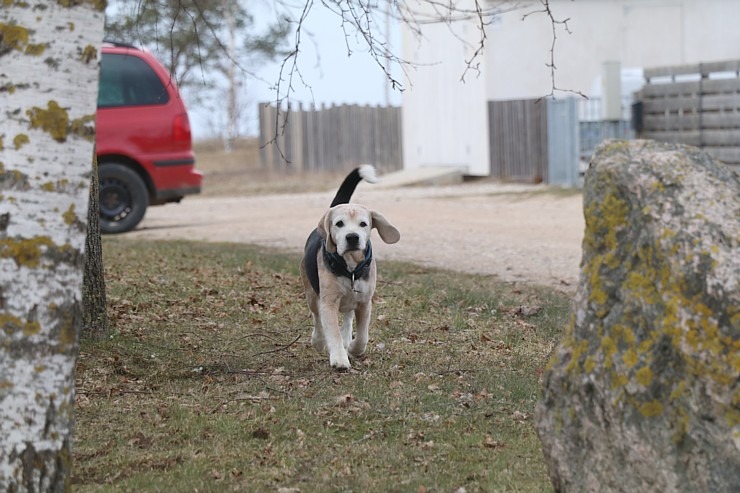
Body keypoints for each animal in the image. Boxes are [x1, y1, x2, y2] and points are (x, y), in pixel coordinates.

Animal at [300, 165, 398, 368]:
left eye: (363, 224)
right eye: (339, 224)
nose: (352, 237)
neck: (350, 268)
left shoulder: (364, 302)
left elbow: (362, 335)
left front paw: (354, 348)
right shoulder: (328, 302)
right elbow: (332, 332)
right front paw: (339, 358)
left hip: (352, 299)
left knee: (347, 316)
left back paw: (346, 339)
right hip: (311, 294)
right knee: (317, 318)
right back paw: (318, 340)